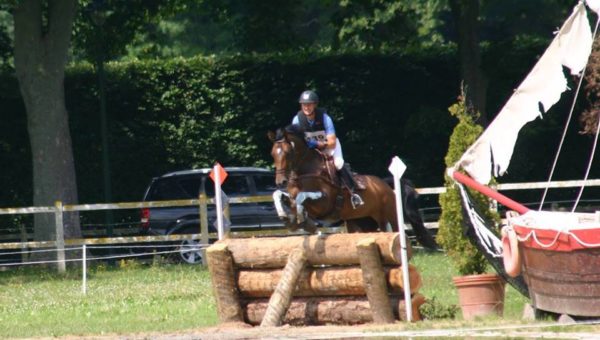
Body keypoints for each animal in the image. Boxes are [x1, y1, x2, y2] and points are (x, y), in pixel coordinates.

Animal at [270, 125, 438, 250]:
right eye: (273, 154)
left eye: (288, 153)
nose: (281, 182)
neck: (305, 172)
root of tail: (384, 184)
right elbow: (278, 195)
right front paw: (287, 218)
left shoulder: (324, 202)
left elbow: (303, 197)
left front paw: (304, 221)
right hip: (361, 222)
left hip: (389, 215)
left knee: (396, 231)